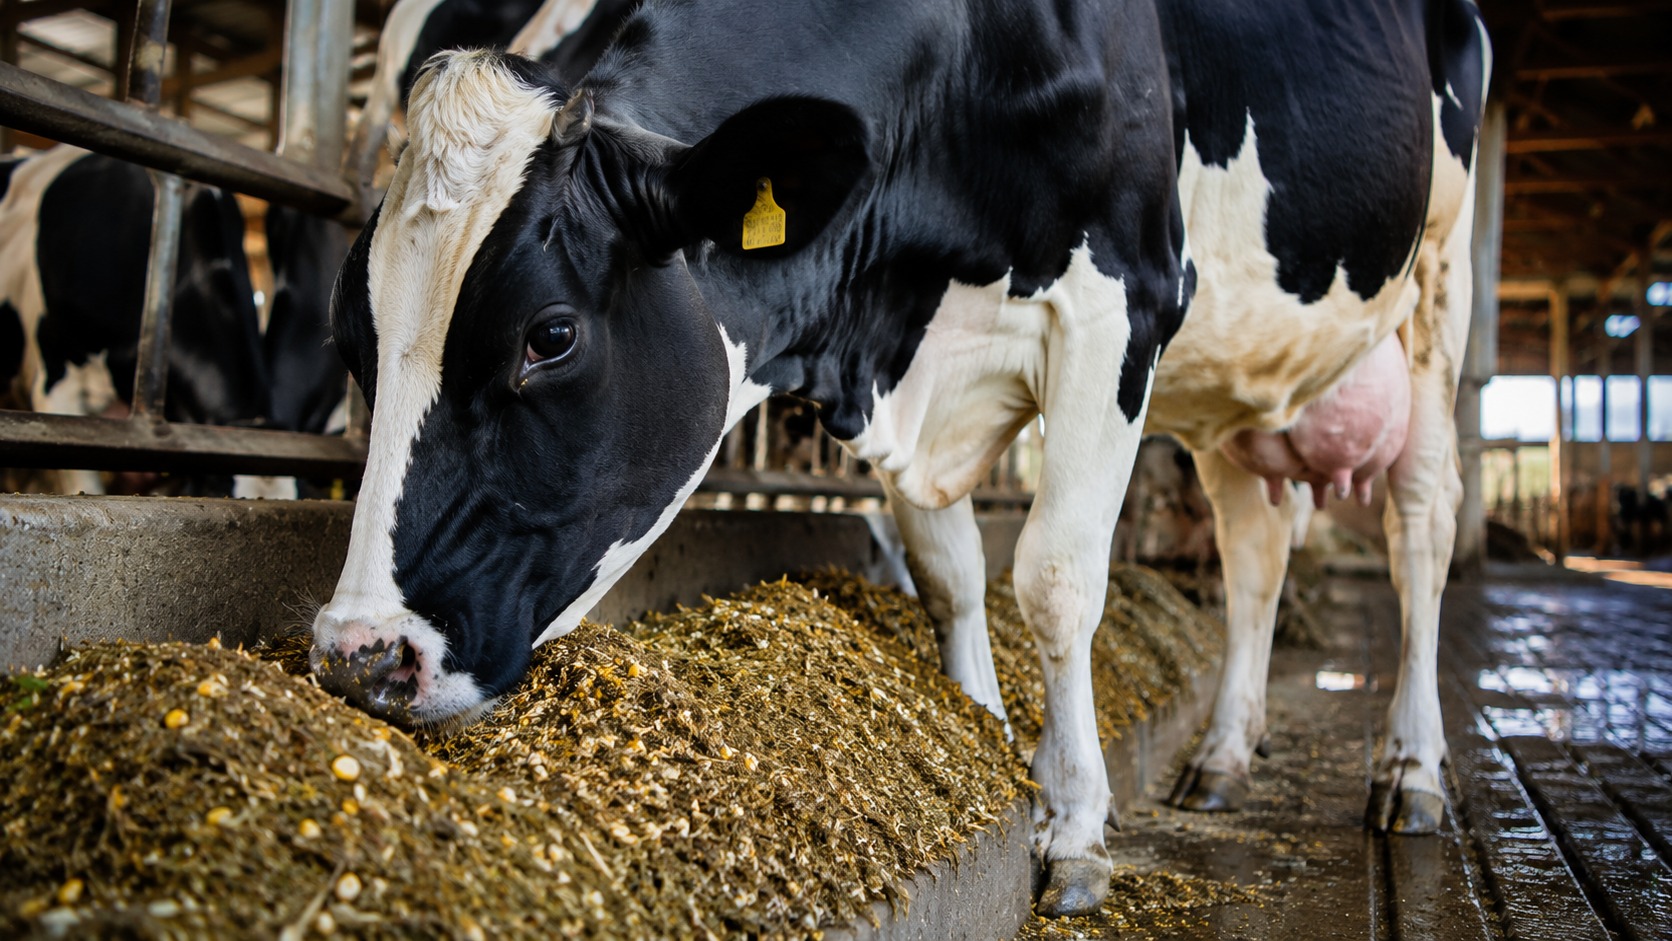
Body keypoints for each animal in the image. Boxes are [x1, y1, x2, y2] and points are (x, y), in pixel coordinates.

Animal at [310, 0, 1490, 916]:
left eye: (548, 336)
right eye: (350, 336)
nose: (359, 655)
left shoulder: (1124, 302)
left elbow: (1054, 578)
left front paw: (1071, 827)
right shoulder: (900, 369)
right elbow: (950, 573)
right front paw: (982, 742)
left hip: (1438, 282)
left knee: (1420, 532)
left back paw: (1411, 770)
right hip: (1239, 389)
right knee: (1255, 550)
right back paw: (1224, 753)